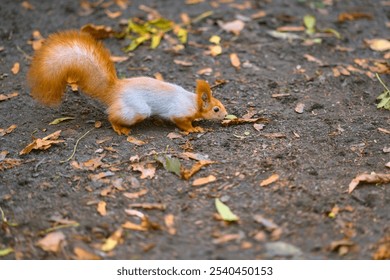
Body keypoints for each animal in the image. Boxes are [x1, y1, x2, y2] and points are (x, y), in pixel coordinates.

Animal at [28, 30, 229, 135]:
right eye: (216, 109)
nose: (226, 115)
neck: (192, 102)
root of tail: (115, 90)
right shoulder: (179, 112)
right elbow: (182, 123)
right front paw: (193, 129)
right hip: (136, 110)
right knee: (112, 115)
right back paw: (120, 128)